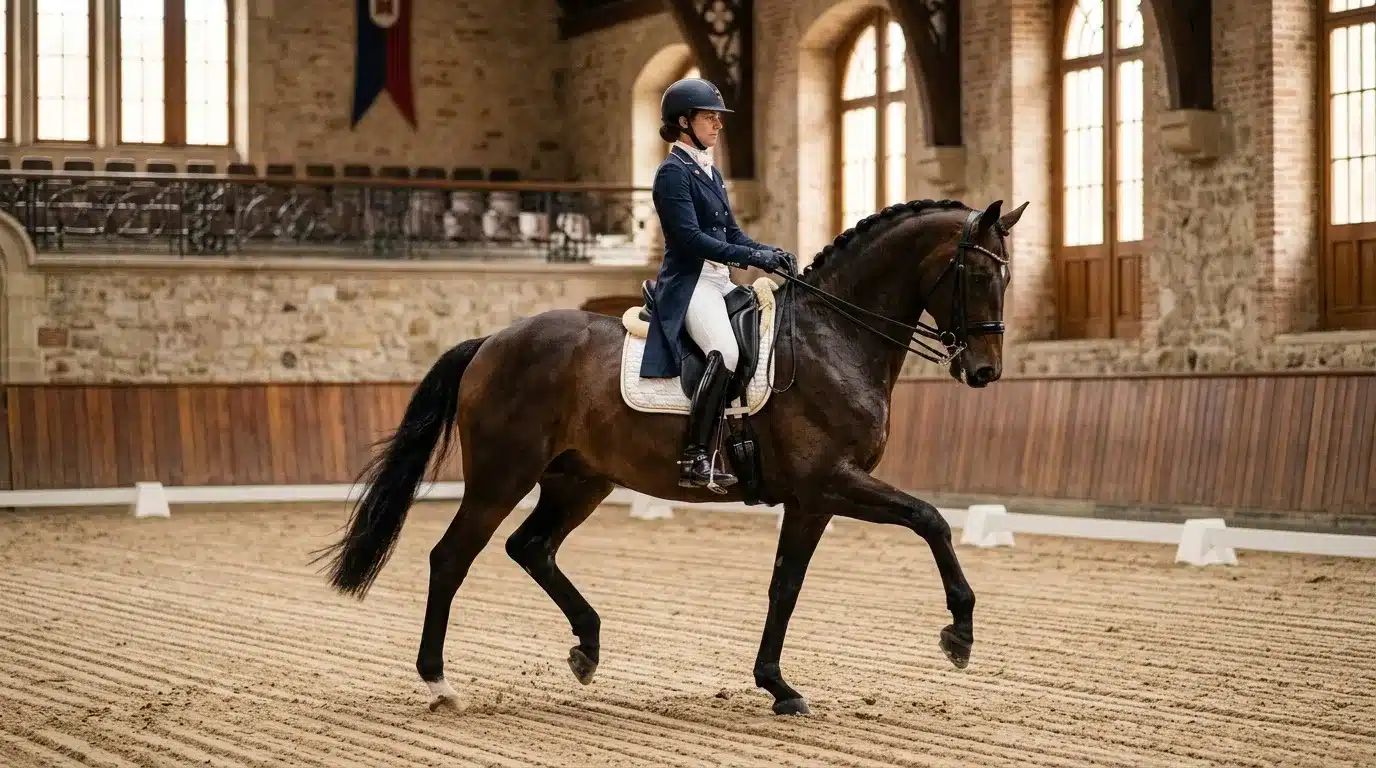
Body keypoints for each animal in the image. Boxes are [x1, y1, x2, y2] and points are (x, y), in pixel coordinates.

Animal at [314, 197, 1028, 716]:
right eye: (976, 273)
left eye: (1007, 276)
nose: (985, 371)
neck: (834, 338)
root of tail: (492, 341)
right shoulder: (831, 482)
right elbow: (930, 519)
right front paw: (959, 636)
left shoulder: (812, 499)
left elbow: (786, 585)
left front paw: (778, 686)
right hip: (501, 477)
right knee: (452, 558)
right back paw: (440, 683)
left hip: (579, 480)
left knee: (531, 547)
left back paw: (587, 647)